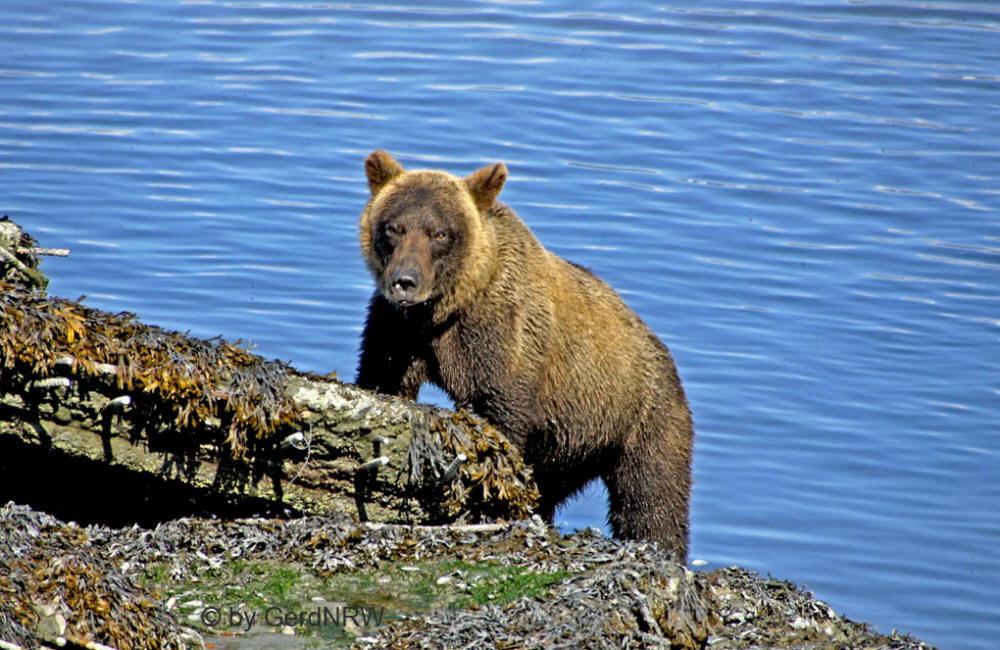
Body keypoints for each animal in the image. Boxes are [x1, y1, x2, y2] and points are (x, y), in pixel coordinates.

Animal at [356, 150, 694, 560]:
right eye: (394, 227)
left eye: (439, 233)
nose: (405, 281)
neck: (446, 308)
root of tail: (663, 353)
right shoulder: (397, 329)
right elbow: (382, 376)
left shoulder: (502, 336)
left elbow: (499, 413)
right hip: (567, 445)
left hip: (640, 415)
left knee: (650, 498)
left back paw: (659, 546)